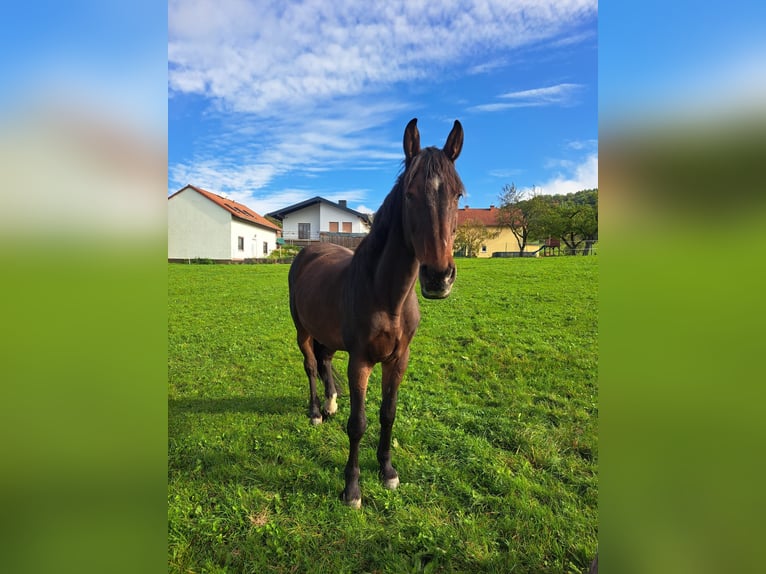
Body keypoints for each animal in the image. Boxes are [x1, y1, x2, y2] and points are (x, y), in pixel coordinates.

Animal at [290, 117, 464, 508]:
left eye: (458, 195)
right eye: (410, 194)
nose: (439, 277)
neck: (387, 296)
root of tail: (308, 251)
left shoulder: (398, 359)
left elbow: (388, 415)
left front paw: (387, 471)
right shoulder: (361, 361)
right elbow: (359, 424)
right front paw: (352, 488)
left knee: (325, 361)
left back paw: (330, 403)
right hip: (303, 331)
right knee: (310, 364)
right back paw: (316, 411)